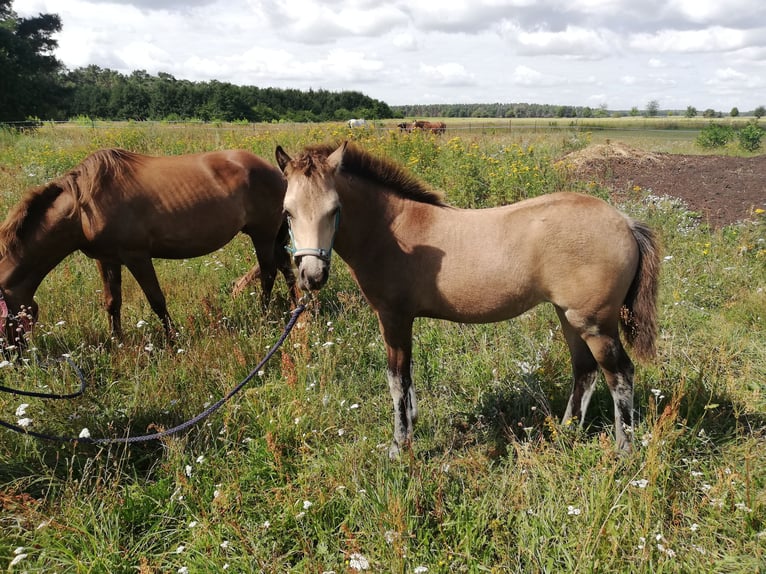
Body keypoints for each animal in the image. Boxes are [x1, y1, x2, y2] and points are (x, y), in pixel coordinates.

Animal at [0, 148, 298, 346]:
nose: (15, 360)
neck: (83, 207)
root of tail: (279, 172)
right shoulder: (107, 259)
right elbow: (112, 302)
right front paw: (117, 341)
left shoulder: (137, 256)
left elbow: (156, 299)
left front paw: (173, 339)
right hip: (272, 236)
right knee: (286, 269)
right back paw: (295, 306)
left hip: (262, 234)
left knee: (269, 272)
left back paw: (263, 316)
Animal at [276, 143, 660, 460]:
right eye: (288, 212)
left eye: (334, 209)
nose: (312, 276)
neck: (392, 231)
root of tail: (625, 222)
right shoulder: (404, 319)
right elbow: (408, 375)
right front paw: (412, 424)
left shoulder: (393, 317)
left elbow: (396, 379)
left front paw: (399, 446)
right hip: (569, 316)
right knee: (585, 370)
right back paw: (564, 435)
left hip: (595, 324)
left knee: (620, 374)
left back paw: (624, 450)